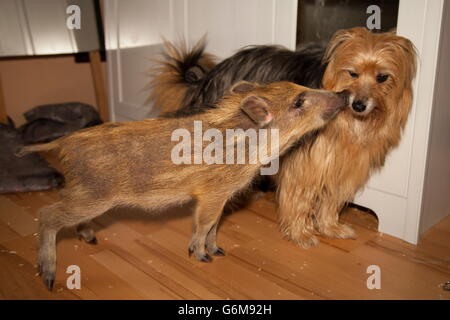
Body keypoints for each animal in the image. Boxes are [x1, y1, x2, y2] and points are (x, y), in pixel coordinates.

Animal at [149, 27, 416, 248]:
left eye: (383, 77)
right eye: (352, 73)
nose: (359, 105)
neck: (349, 123)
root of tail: (209, 76)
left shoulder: (343, 164)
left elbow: (332, 199)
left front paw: (331, 227)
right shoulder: (304, 163)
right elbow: (299, 198)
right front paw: (301, 234)